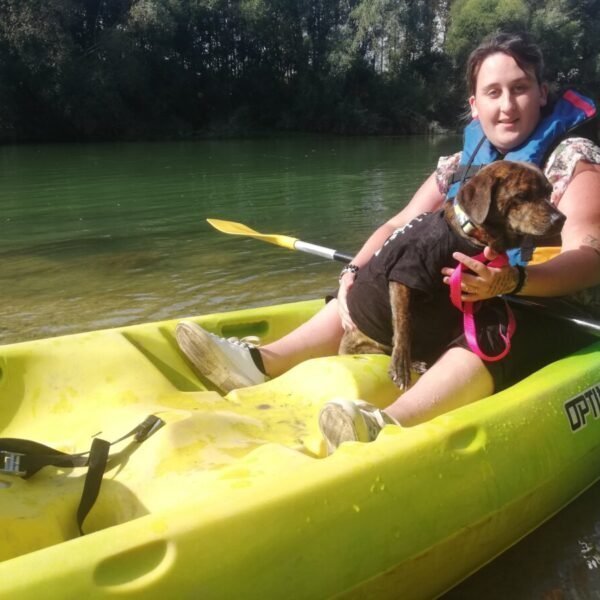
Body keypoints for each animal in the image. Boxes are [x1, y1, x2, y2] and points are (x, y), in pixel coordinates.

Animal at [340, 159, 564, 392]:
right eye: (521, 196)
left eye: (549, 192)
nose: (561, 219)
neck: (469, 232)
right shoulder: (405, 274)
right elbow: (403, 323)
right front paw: (400, 365)